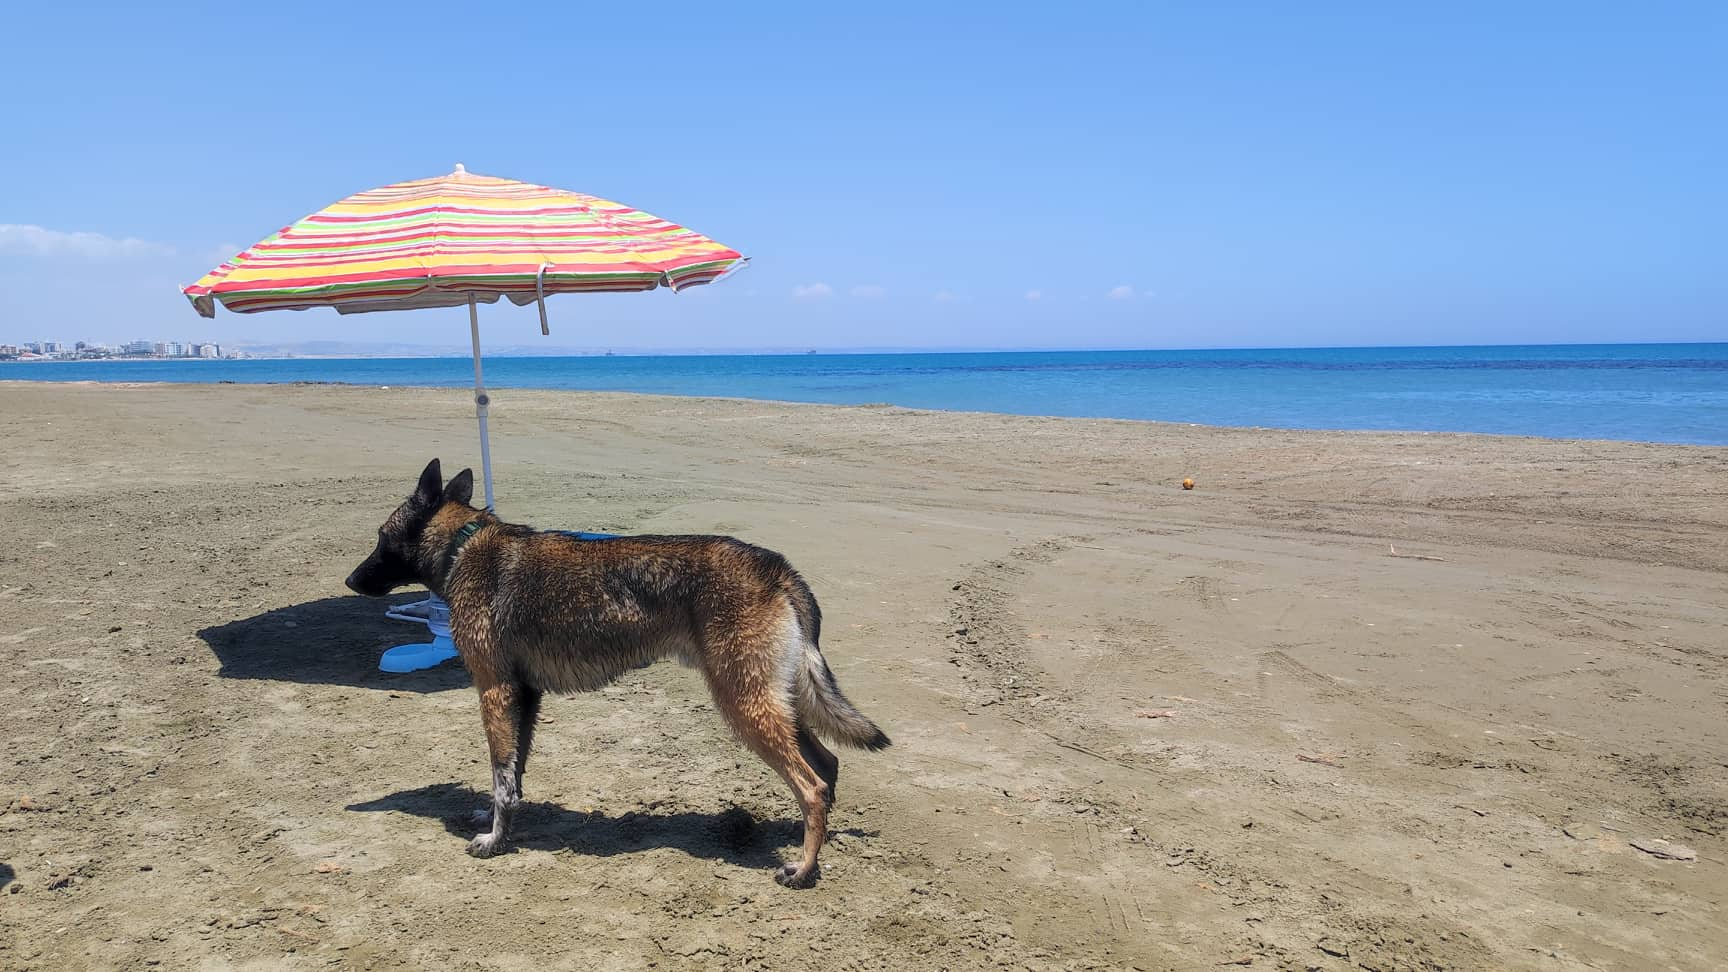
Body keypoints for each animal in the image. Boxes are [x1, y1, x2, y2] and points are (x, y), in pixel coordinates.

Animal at [345, 456, 898, 882]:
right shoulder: (523, 696)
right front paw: (499, 819)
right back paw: (808, 845)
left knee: (812, 785)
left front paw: (494, 840)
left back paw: (802, 869)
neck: (463, 546)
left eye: (380, 538)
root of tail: (778, 569)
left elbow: (502, 777)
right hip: (774, 703)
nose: (349, 581)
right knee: (826, 769)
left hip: (746, 707)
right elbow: (513, 776)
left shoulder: (495, 693)